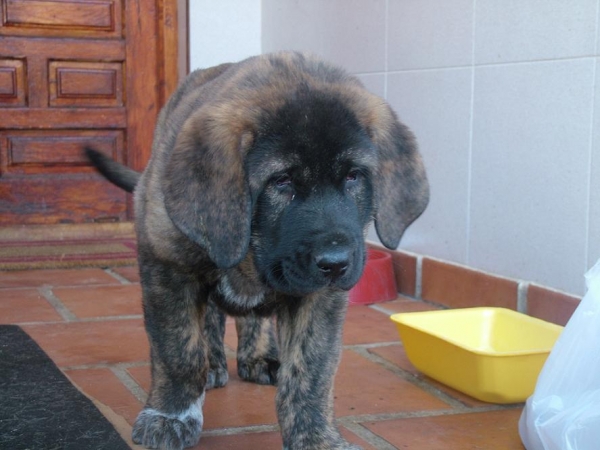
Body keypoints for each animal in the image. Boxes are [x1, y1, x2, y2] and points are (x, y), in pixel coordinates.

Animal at [86, 52, 428, 450]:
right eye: (281, 181)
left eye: (354, 176)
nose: (336, 264)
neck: (251, 253)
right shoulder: (168, 268)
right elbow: (179, 351)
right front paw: (171, 415)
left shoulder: (319, 299)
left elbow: (311, 372)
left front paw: (315, 437)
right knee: (210, 320)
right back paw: (214, 365)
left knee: (253, 318)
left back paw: (260, 355)